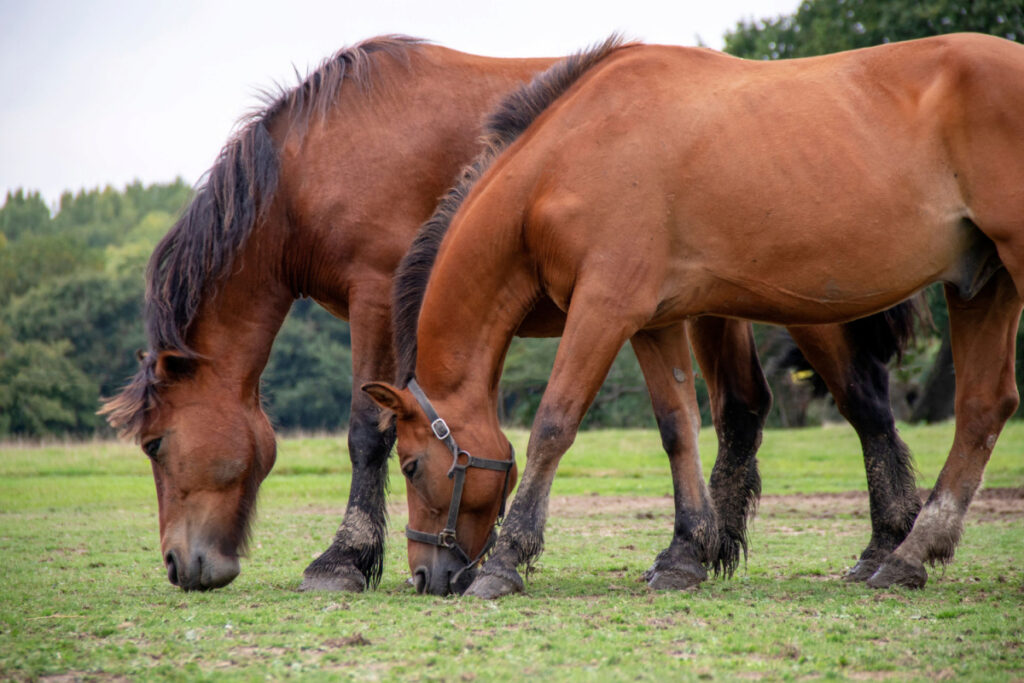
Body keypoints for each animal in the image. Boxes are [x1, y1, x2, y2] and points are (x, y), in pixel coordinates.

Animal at [103, 36, 917, 593]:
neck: (315, 162)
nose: (178, 564)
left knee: (865, 405)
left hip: (806, 306)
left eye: (154, 446)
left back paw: (887, 544)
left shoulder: (376, 295)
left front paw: (345, 558)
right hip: (714, 307)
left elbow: (366, 433)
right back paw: (712, 548)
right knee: (743, 410)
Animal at [370, 31, 1024, 598]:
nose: (424, 575)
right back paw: (909, 553)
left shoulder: (604, 309)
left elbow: (554, 425)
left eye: (410, 465)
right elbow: (678, 427)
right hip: (980, 286)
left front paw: (505, 562)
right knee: (982, 408)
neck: (565, 160)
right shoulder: (653, 321)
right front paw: (685, 553)